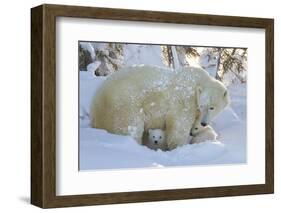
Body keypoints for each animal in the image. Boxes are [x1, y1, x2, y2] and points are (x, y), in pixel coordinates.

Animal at [89, 65, 228, 150]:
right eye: (203, 105)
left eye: (212, 107)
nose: (204, 123)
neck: (197, 82)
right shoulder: (184, 101)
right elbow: (178, 127)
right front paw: (179, 147)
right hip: (124, 106)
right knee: (130, 127)